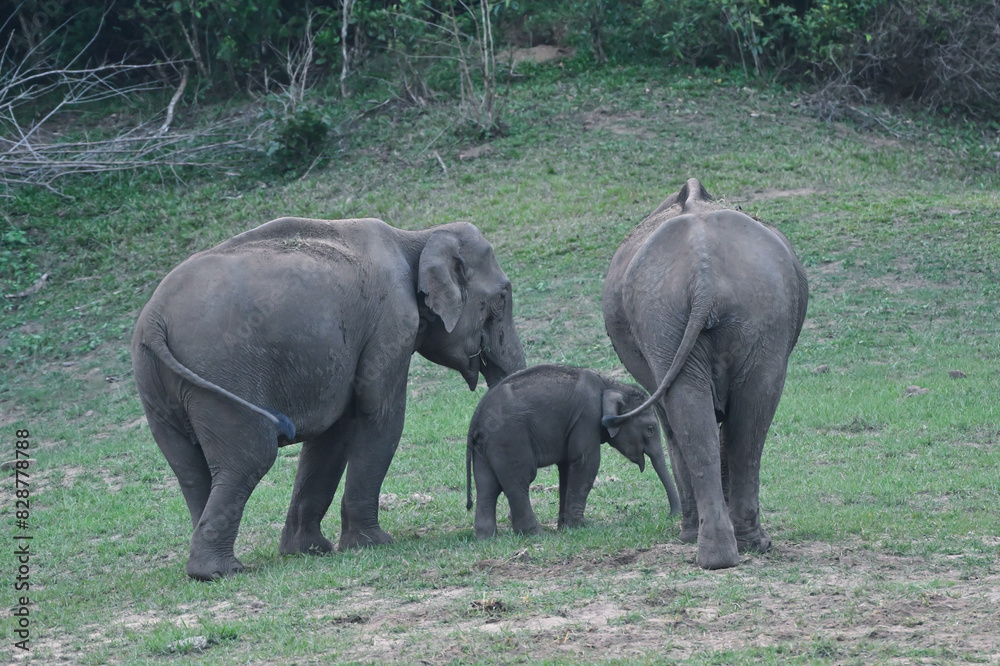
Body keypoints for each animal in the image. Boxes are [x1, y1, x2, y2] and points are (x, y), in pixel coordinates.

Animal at [131, 216, 526, 580]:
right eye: (502, 297)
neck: (415, 237)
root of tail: (153, 319)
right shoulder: (392, 321)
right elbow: (380, 414)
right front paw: (373, 544)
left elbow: (335, 432)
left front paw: (307, 551)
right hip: (221, 376)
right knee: (250, 458)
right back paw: (219, 571)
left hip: (157, 387)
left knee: (192, 471)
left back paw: (211, 566)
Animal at [466, 364, 681, 539]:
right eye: (650, 429)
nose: (670, 516)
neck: (609, 383)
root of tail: (476, 416)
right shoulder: (587, 416)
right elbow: (586, 461)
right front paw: (581, 525)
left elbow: (567, 467)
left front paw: (565, 526)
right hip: (510, 439)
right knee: (519, 481)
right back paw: (535, 534)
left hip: (485, 446)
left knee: (487, 485)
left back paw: (487, 537)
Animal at [602, 179, 808, 570]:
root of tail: (704, 277)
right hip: (715, 313)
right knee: (741, 416)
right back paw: (734, 548)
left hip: (702, 312)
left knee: (723, 418)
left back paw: (724, 550)